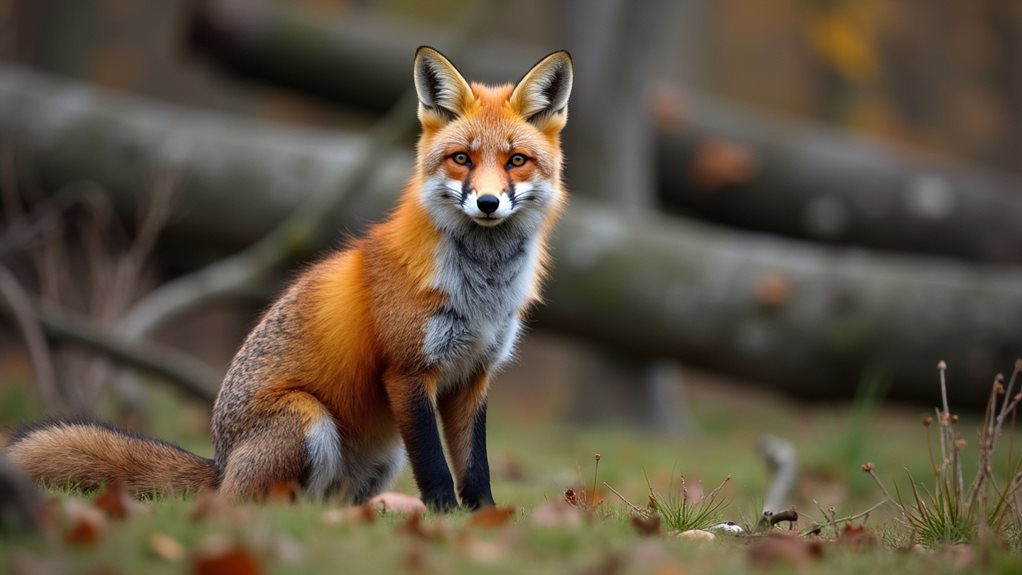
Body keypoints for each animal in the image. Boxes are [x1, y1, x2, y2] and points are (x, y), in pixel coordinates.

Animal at [5, 47, 573, 511]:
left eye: (516, 161)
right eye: (462, 159)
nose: (488, 202)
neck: (483, 291)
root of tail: (220, 463)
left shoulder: (474, 375)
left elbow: (475, 466)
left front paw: (483, 521)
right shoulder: (408, 371)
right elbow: (435, 468)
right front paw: (442, 521)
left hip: (381, 456)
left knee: (323, 506)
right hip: (308, 419)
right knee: (259, 506)